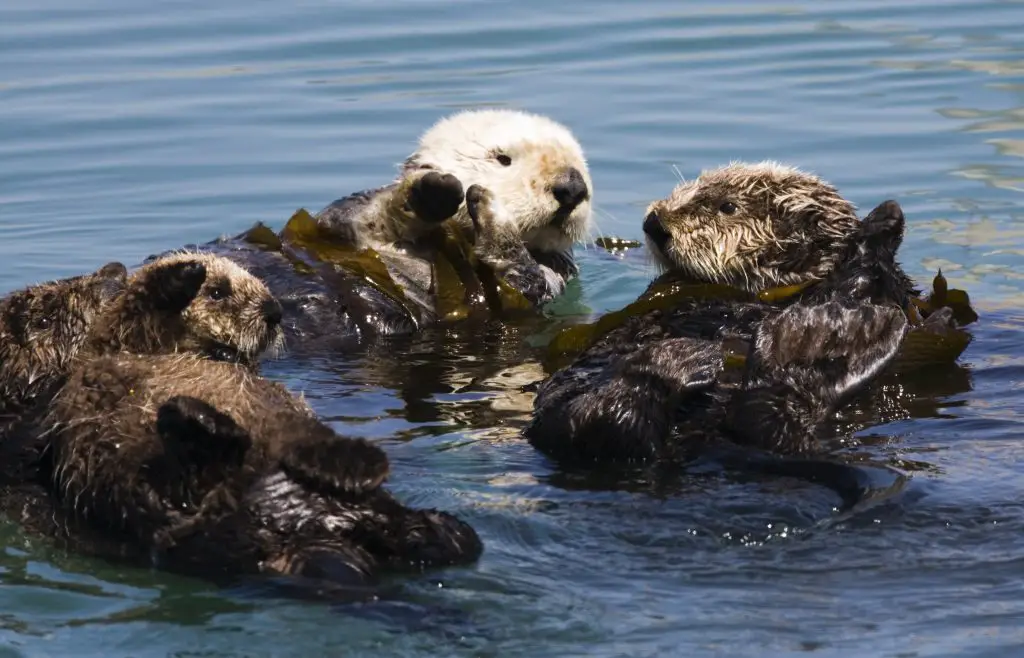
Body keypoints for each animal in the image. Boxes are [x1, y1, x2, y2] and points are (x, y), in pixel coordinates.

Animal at [29, 253, 481, 586]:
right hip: (164, 498)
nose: (274, 311)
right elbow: (136, 310)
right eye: (218, 292)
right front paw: (184, 273)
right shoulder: (120, 338)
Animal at [172, 108, 592, 348]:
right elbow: (366, 214)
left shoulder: (550, 278)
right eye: (502, 158)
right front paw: (431, 191)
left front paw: (491, 212)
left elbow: (519, 279)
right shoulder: (343, 221)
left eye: (581, 163)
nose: (572, 186)